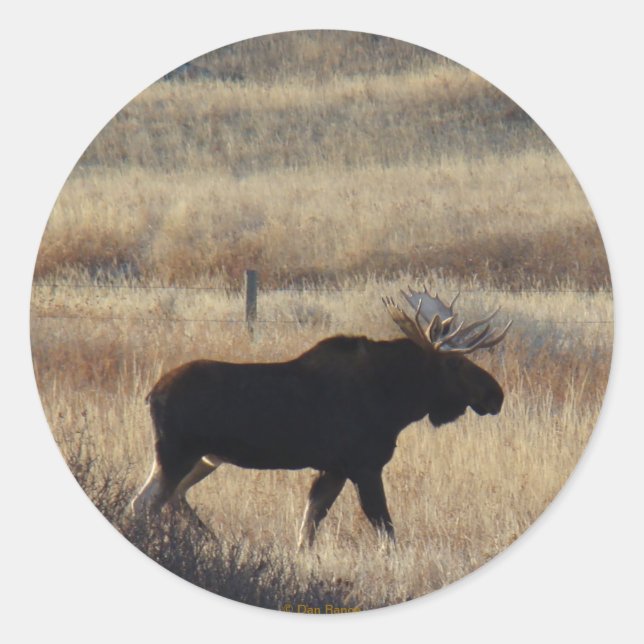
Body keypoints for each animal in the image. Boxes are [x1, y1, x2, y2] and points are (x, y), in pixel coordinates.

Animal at [131, 287, 511, 547]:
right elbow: (386, 530)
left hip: (205, 458)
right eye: (456, 361)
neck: (396, 402)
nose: (496, 394)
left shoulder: (334, 469)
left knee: (171, 498)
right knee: (144, 502)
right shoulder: (364, 466)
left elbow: (308, 529)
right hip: (177, 453)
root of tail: (151, 394)